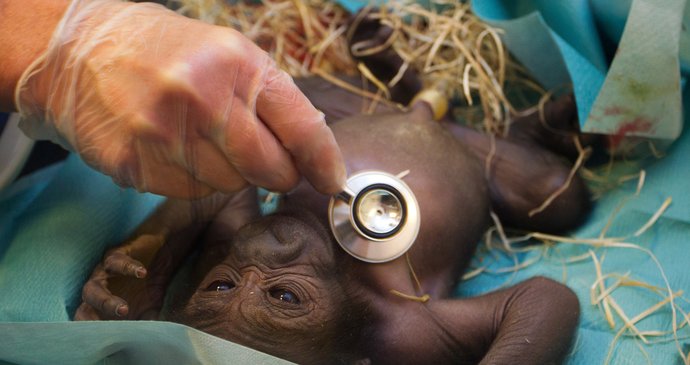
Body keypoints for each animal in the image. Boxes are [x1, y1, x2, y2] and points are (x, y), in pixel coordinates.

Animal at [75, 72, 592, 362]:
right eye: (222, 287)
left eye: (281, 294)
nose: (271, 242)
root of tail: (423, 114)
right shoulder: (411, 333)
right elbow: (543, 300)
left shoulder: (232, 227)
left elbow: (216, 188)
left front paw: (124, 280)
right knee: (557, 192)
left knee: (304, 93)